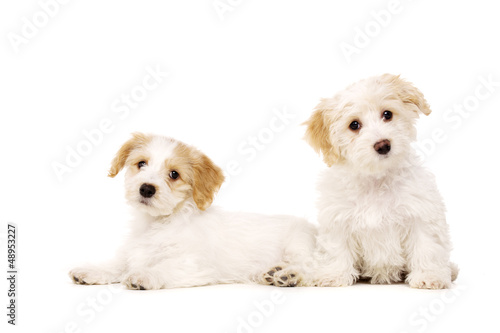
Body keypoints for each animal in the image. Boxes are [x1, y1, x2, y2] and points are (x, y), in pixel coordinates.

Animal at [69, 134, 316, 290]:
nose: (146, 189)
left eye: (174, 174)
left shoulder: (194, 265)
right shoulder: (131, 253)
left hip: (298, 244)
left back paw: (289, 275)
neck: (157, 223)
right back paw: (271, 273)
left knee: (312, 267)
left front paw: (145, 275)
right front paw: (90, 271)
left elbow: (164, 267)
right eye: (141, 164)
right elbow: (116, 265)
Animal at [302, 73, 458, 288]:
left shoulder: (421, 214)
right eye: (354, 125)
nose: (383, 145)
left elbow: (427, 246)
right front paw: (333, 275)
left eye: (387, 114)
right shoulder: (338, 219)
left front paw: (429, 276)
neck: (376, 179)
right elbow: (336, 249)